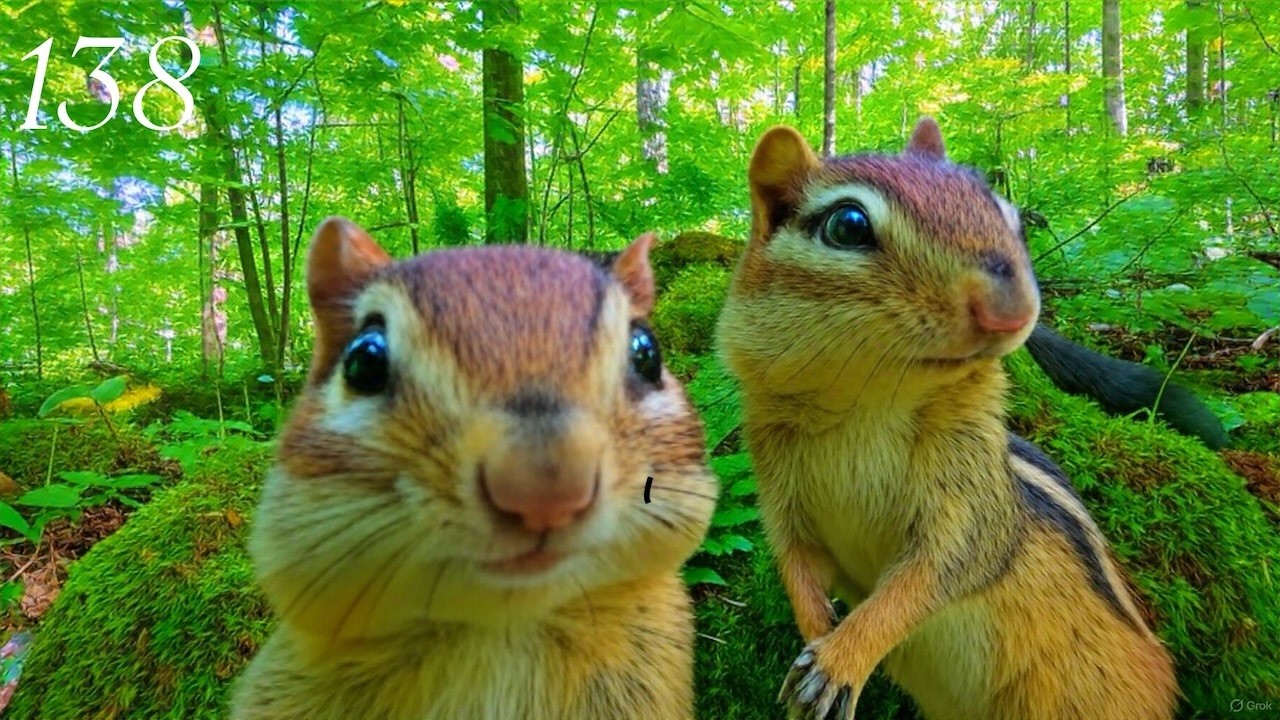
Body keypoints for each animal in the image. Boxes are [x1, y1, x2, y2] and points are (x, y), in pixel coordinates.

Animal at [715, 119, 1178, 720]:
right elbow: (797, 565)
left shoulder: (972, 498)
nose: (1012, 311)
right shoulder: (780, 496)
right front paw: (815, 639)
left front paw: (837, 661)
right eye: (848, 224)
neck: (866, 403)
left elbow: (937, 572)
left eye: (1007, 214)